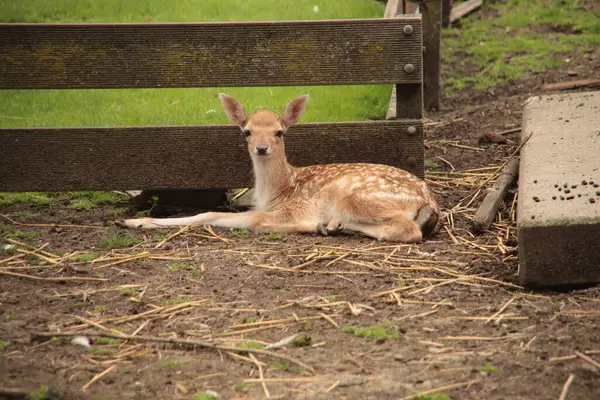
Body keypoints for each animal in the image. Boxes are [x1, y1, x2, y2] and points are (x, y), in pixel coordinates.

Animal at [115, 94, 438, 244]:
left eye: (279, 132)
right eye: (246, 131)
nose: (261, 148)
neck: (278, 189)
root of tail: (430, 202)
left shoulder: (293, 207)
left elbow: (249, 220)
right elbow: (211, 214)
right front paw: (132, 222)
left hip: (358, 197)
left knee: (409, 230)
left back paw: (328, 225)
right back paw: (333, 225)